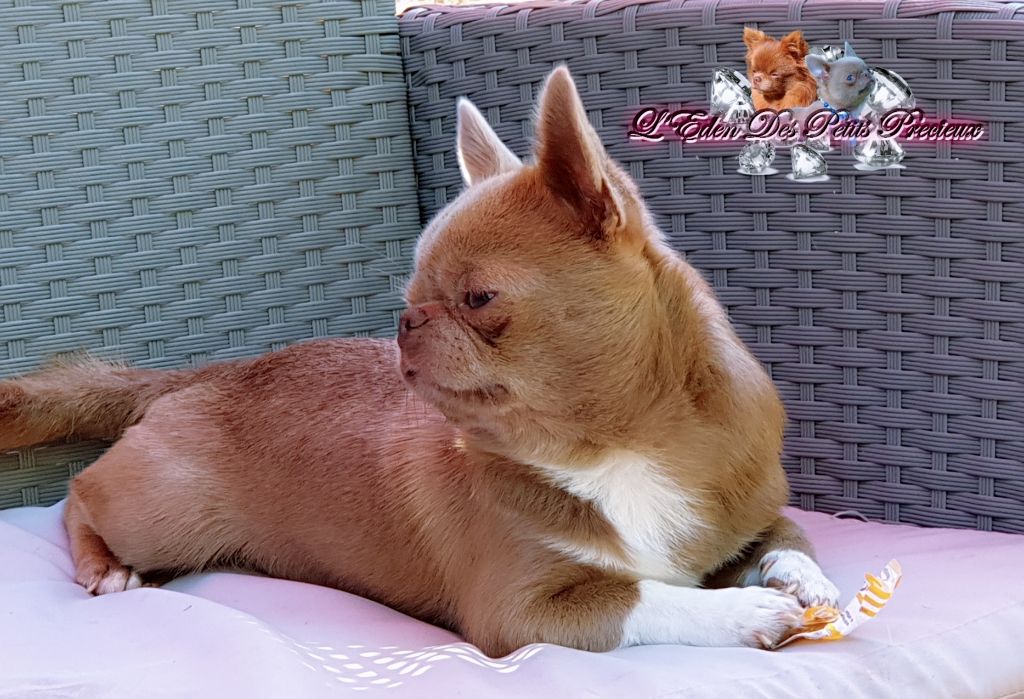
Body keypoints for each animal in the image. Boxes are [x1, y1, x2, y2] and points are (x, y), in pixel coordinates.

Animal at [0, 66, 839, 657]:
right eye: (412, 295)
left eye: (478, 297)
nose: (405, 320)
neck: (617, 445)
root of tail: (201, 373)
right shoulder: (527, 609)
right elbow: (647, 596)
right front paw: (743, 608)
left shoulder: (747, 513)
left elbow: (790, 537)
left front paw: (809, 580)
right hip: (163, 515)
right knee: (81, 496)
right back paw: (104, 566)